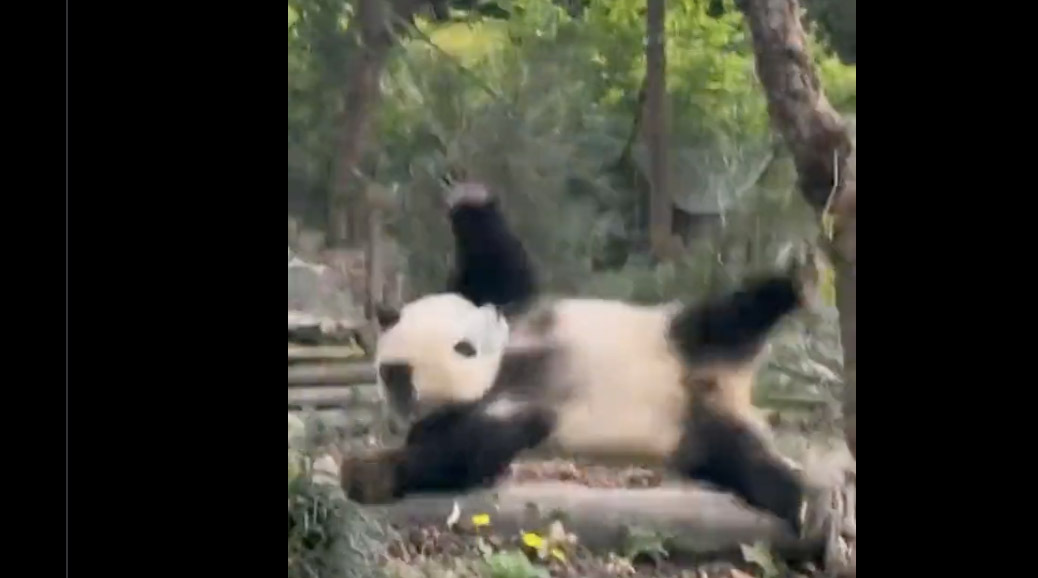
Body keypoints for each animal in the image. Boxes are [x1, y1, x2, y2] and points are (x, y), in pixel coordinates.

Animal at [345, 182, 829, 545]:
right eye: (386, 372)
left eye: (399, 374)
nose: (396, 404)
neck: (504, 368)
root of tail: (724, 387)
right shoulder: (510, 406)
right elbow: (468, 451)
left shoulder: (515, 314)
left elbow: (507, 274)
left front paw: (469, 199)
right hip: (697, 432)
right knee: (746, 461)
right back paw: (802, 502)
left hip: (681, 335)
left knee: (738, 309)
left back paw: (798, 282)